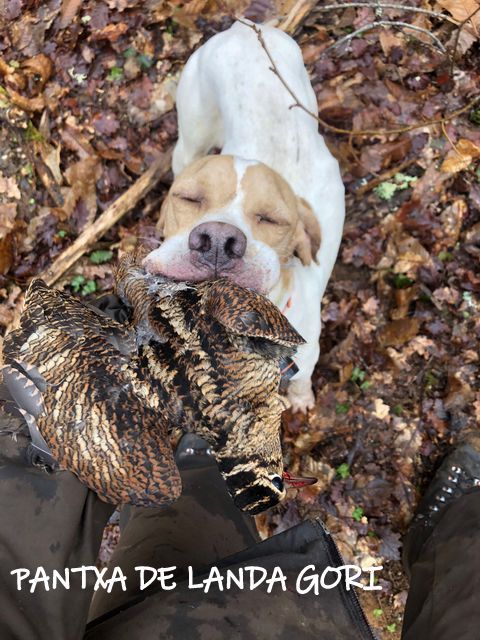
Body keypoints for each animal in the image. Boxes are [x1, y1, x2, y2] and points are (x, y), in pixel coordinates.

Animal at [142, 21, 344, 416]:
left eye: (273, 219)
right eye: (189, 198)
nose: (219, 240)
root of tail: (246, 28)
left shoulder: (305, 359)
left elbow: (302, 382)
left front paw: (301, 400)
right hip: (189, 140)